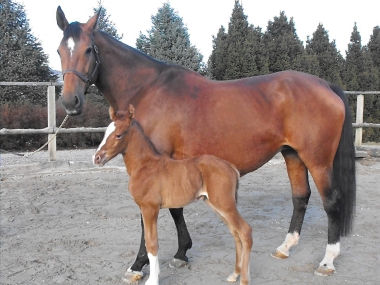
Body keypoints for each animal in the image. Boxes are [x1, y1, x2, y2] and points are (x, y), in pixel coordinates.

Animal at [93, 104, 252, 284]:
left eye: (118, 135)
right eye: (105, 132)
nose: (97, 158)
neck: (145, 166)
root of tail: (231, 167)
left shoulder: (150, 208)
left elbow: (152, 243)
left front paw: (153, 280)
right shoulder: (145, 209)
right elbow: (149, 241)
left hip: (225, 205)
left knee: (245, 232)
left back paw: (244, 279)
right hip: (218, 206)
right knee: (236, 234)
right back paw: (234, 274)